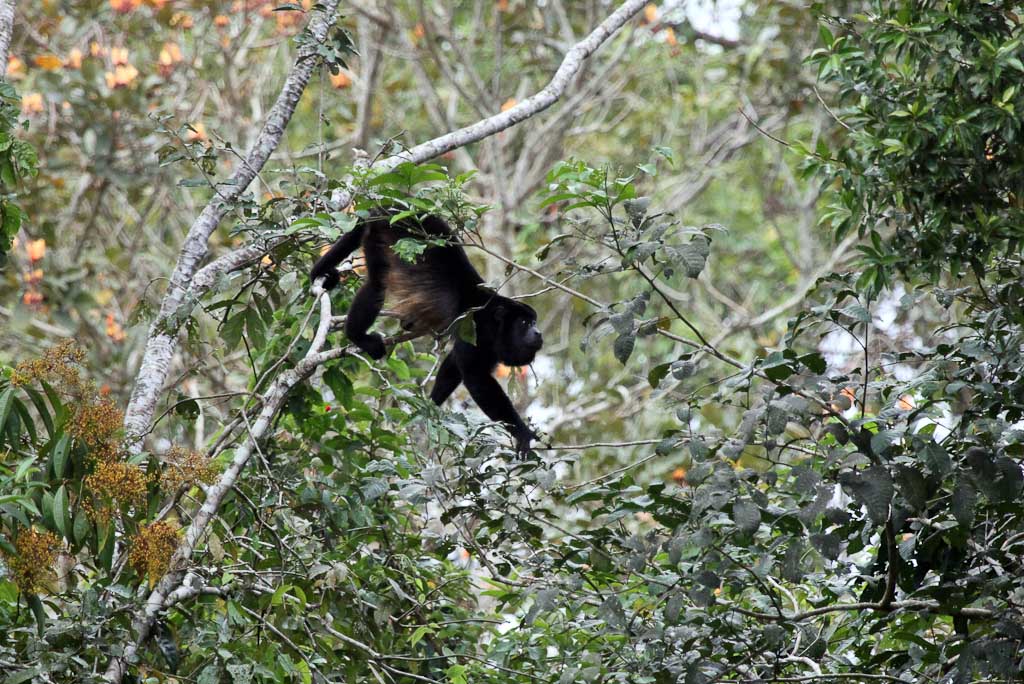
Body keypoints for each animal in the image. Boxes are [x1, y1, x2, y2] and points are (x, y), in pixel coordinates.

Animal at [310, 210, 543, 454]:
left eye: (534, 321)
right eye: (525, 323)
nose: (538, 333)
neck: (494, 321)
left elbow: (453, 365)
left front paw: (431, 408)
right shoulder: (477, 329)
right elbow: (477, 379)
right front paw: (523, 434)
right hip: (380, 234)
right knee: (377, 284)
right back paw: (359, 336)